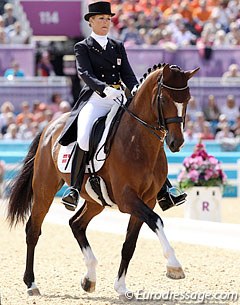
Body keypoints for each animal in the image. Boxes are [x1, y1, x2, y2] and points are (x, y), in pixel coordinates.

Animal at [7, 63, 199, 296]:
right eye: (163, 100)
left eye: (187, 99)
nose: (176, 143)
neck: (138, 141)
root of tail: (50, 126)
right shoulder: (127, 199)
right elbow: (156, 221)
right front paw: (174, 266)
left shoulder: (148, 199)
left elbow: (129, 245)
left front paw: (121, 287)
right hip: (45, 189)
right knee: (33, 230)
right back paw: (31, 283)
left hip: (95, 201)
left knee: (76, 224)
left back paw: (89, 278)